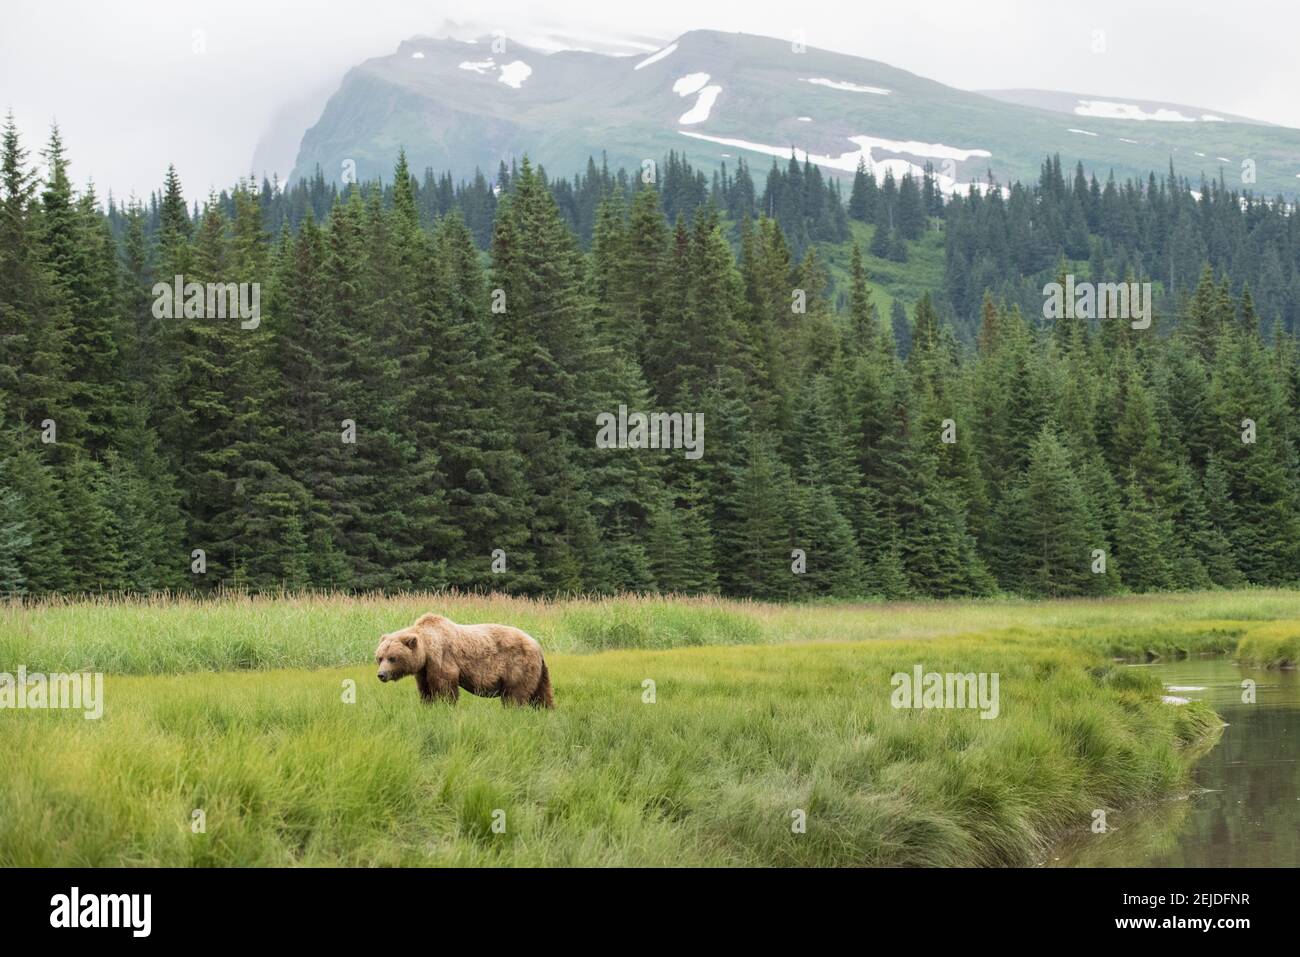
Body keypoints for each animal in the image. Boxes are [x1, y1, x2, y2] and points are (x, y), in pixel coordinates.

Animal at [375, 613, 554, 708]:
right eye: (379, 658)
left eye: (392, 658)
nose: (381, 675)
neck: (426, 649)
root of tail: (537, 645)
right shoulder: (424, 669)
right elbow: (426, 689)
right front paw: (428, 705)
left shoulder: (442, 658)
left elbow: (445, 686)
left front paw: (445, 706)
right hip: (538, 672)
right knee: (541, 694)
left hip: (518, 664)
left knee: (515, 694)